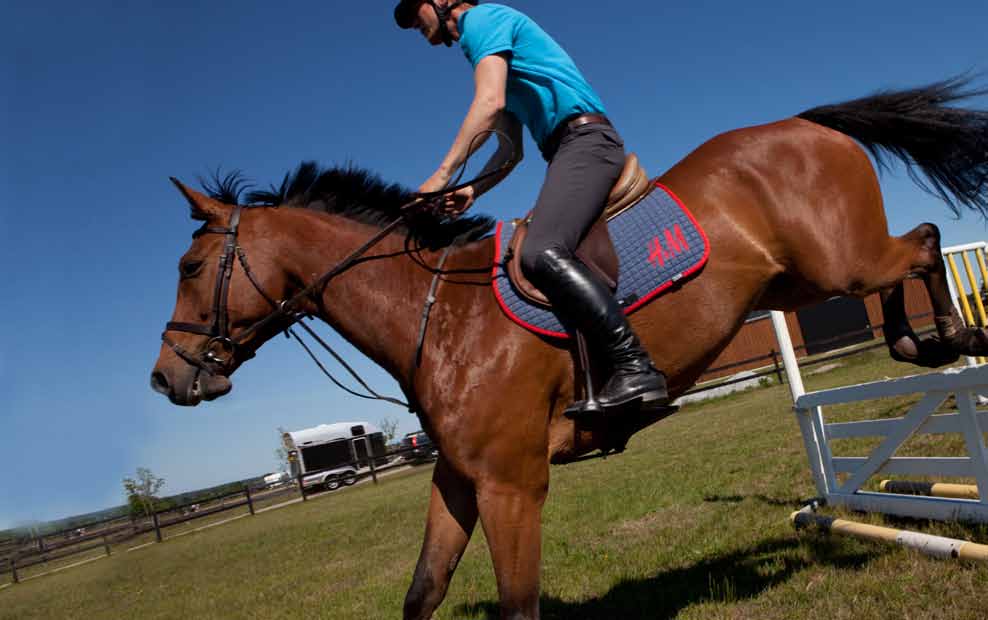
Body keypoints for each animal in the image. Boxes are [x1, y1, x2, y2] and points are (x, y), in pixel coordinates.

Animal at [151, 78, 988, 620]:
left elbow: (519, 605)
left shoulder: (513, 485)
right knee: (910, 255)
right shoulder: (459, 479)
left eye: (190, 268)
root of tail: (805, 123)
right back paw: (922, 342)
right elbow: (423, 591)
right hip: (800, 283)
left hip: (840, 264)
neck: (439, 316)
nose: (165, 379)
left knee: (921, 243)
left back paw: (950, 336)